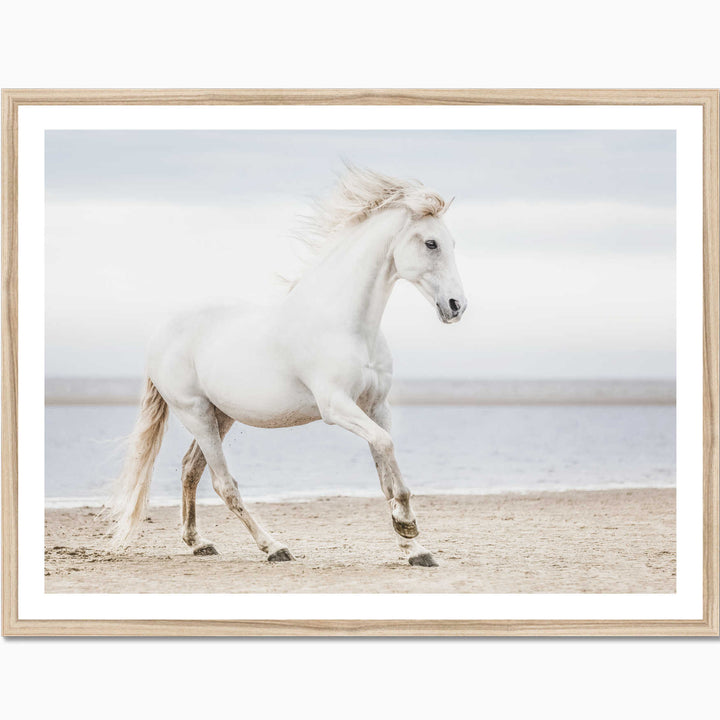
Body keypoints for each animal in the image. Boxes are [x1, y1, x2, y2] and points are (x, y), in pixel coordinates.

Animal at [108, 165, 467, 567]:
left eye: (451, 243)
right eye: (431, 243)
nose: (456, 306)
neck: (348, 324)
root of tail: (160, 333)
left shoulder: (376, 407)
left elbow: (386, 470)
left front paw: (415, 549)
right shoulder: (336, 407)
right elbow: (386, 448)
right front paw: (407, 526)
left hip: (221, 416)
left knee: (190, 470)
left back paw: (198, 543)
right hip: (195, 413)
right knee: (223, 483)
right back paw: (274, 547)